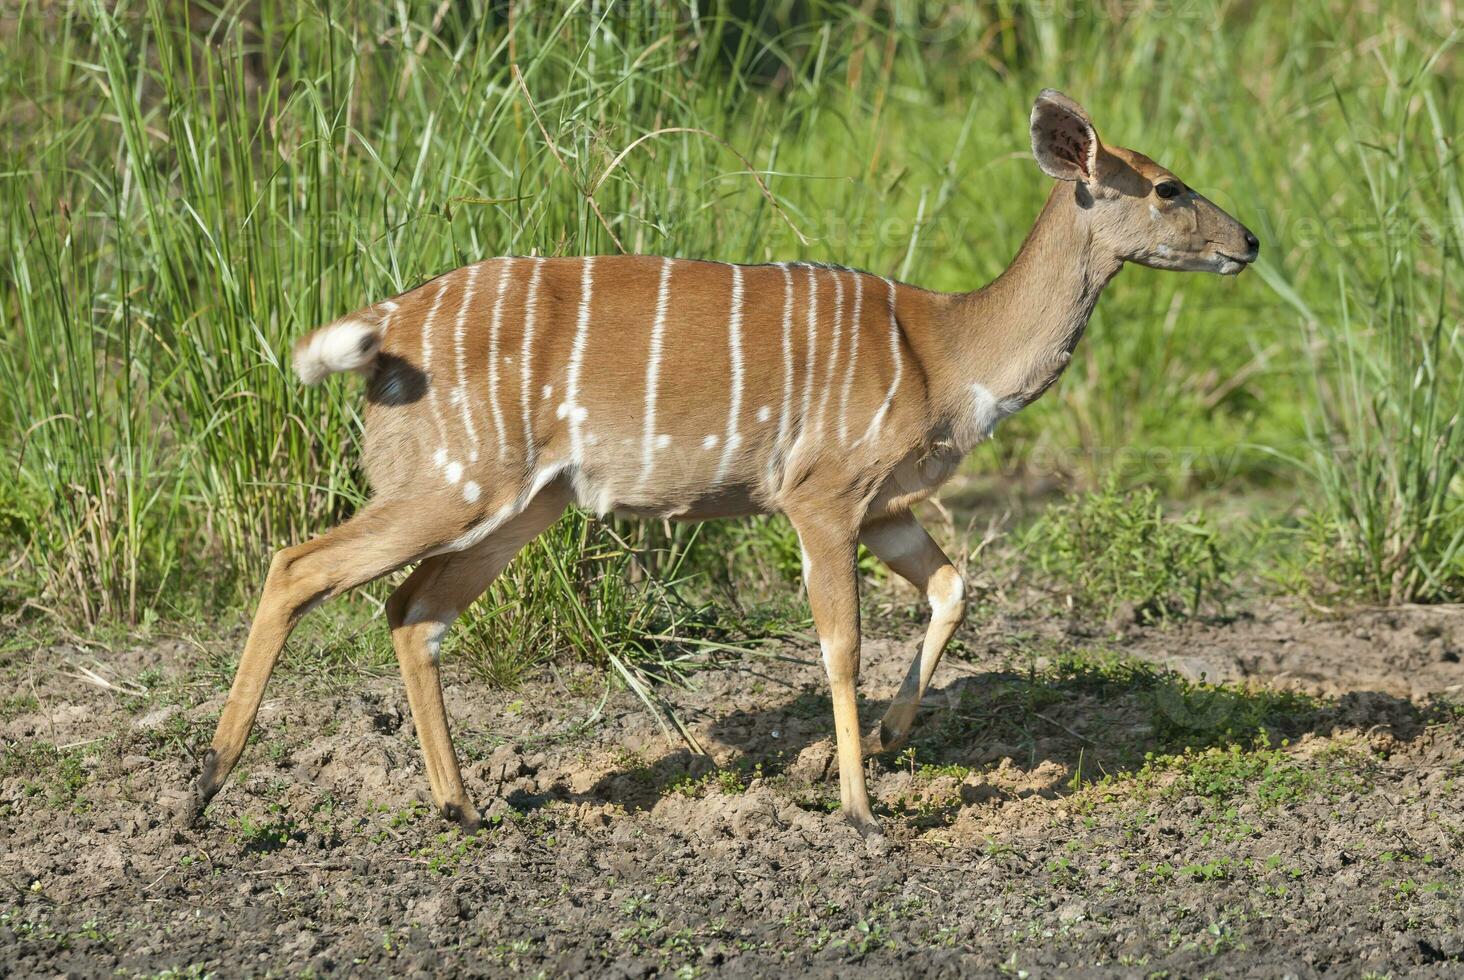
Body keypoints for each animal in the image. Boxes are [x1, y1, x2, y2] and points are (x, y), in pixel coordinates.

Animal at [183, 89, 1259, 832]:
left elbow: (955, 587)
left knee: (412, 611)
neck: (948, 354)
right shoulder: (820, 497)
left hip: (524, 502)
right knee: (300, 565)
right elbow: (838, 644)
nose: (1248, 240)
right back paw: (204, 789)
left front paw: (868, 750)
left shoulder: (886, 504)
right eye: (1167, 186)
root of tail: (385, 329)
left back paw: (463, 808)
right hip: (454, 483)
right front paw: (858, 809)